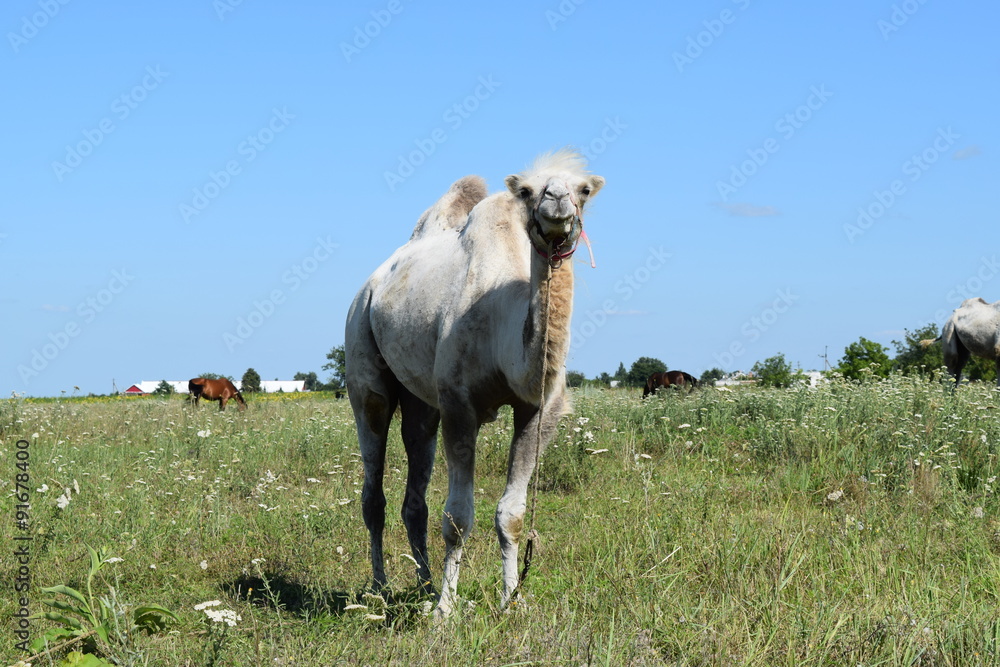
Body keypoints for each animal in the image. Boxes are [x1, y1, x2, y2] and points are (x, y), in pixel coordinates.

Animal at [345, 150, 605, 618]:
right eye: (528, 191)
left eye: (584, 190)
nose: (556, 201)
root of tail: (371, 284)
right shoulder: (459, 405)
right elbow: (459, 518)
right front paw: (446, 612)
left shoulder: (538, 410)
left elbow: (511, 514)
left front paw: (511, 600)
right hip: (362, 359)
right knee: (373, 489)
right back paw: (380, 588)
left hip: (421, 401)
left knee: (415, 495)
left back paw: (425, 585)